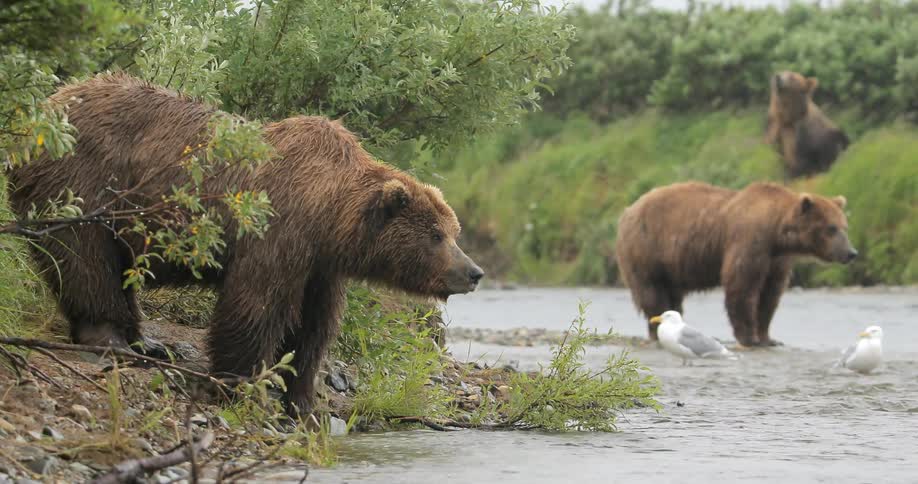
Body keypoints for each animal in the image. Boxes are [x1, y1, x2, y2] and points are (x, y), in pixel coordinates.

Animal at [7, 73, 484, 415]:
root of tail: (43, 108)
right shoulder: (277, 230)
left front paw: (303, 400)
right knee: (85, 258)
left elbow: (312, 328)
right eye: (437, 235)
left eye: (454, 231)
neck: (329, 212)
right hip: (82, 182)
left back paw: (147, 342)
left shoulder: (319, 265)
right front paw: (238, 385)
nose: (473, 272)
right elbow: (256, 307)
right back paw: (113, 340)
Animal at [615, 181, 857, 347]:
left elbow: (770, 296)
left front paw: (769, 338)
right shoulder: (749, 242)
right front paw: (750, 338)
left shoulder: (776, 261)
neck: (777, 234)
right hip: (646, 249)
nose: (851, 253)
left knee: (673, 297)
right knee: (651, 292)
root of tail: (629, 209)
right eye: (831, 228)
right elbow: (742, 287)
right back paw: (656, 332)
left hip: (670, 265)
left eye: (844, 226)